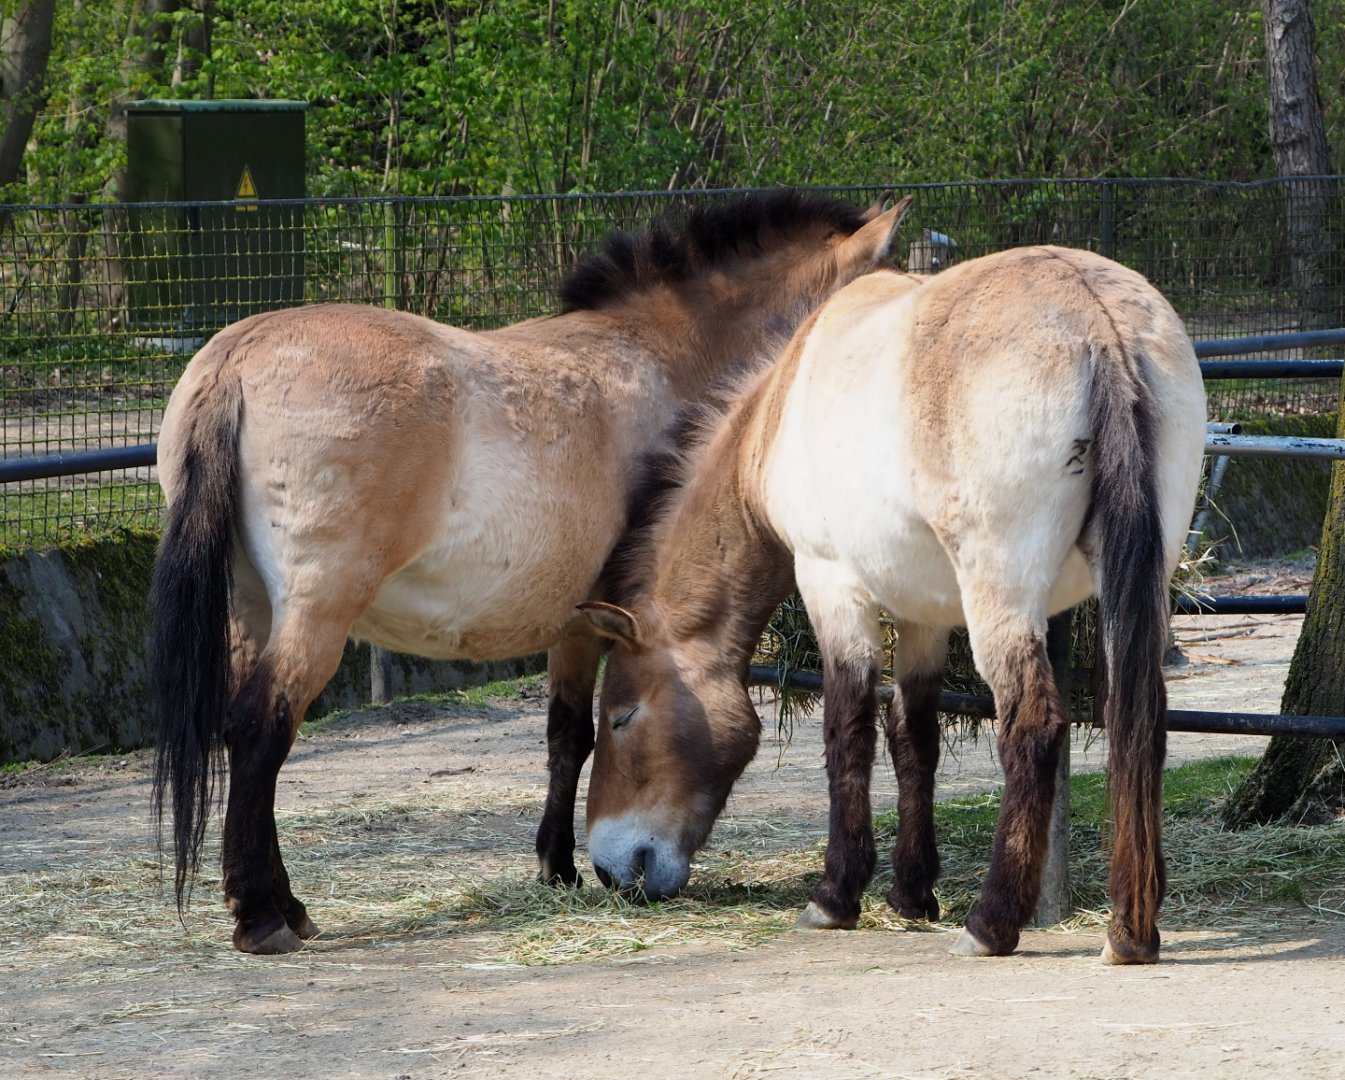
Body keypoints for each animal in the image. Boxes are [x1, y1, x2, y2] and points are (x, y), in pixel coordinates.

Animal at [151, 189, 912, 954]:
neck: (665, 358)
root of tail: (236, 359)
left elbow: (562, 735)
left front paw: (554, 865)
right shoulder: (595, 621)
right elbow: (577, 735)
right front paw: (560, 864)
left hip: (252, 608)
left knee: (244, 733)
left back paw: (286, 904)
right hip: (316, 615)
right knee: (261, 728)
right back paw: (261, 915)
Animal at [579, 246, 1207, 965]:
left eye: (621, 717)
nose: (609, 867)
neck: (780, 408)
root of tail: (1094, 321)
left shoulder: (829, 583)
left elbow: (846, 728)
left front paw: (835, 895)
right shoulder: (923, 614)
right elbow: (913, 735)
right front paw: (911, 892)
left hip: (1001, 592)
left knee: (1034, 724)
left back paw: (992, 922)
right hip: (1135, 584)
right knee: (1140, 719)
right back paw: (1130, 930)